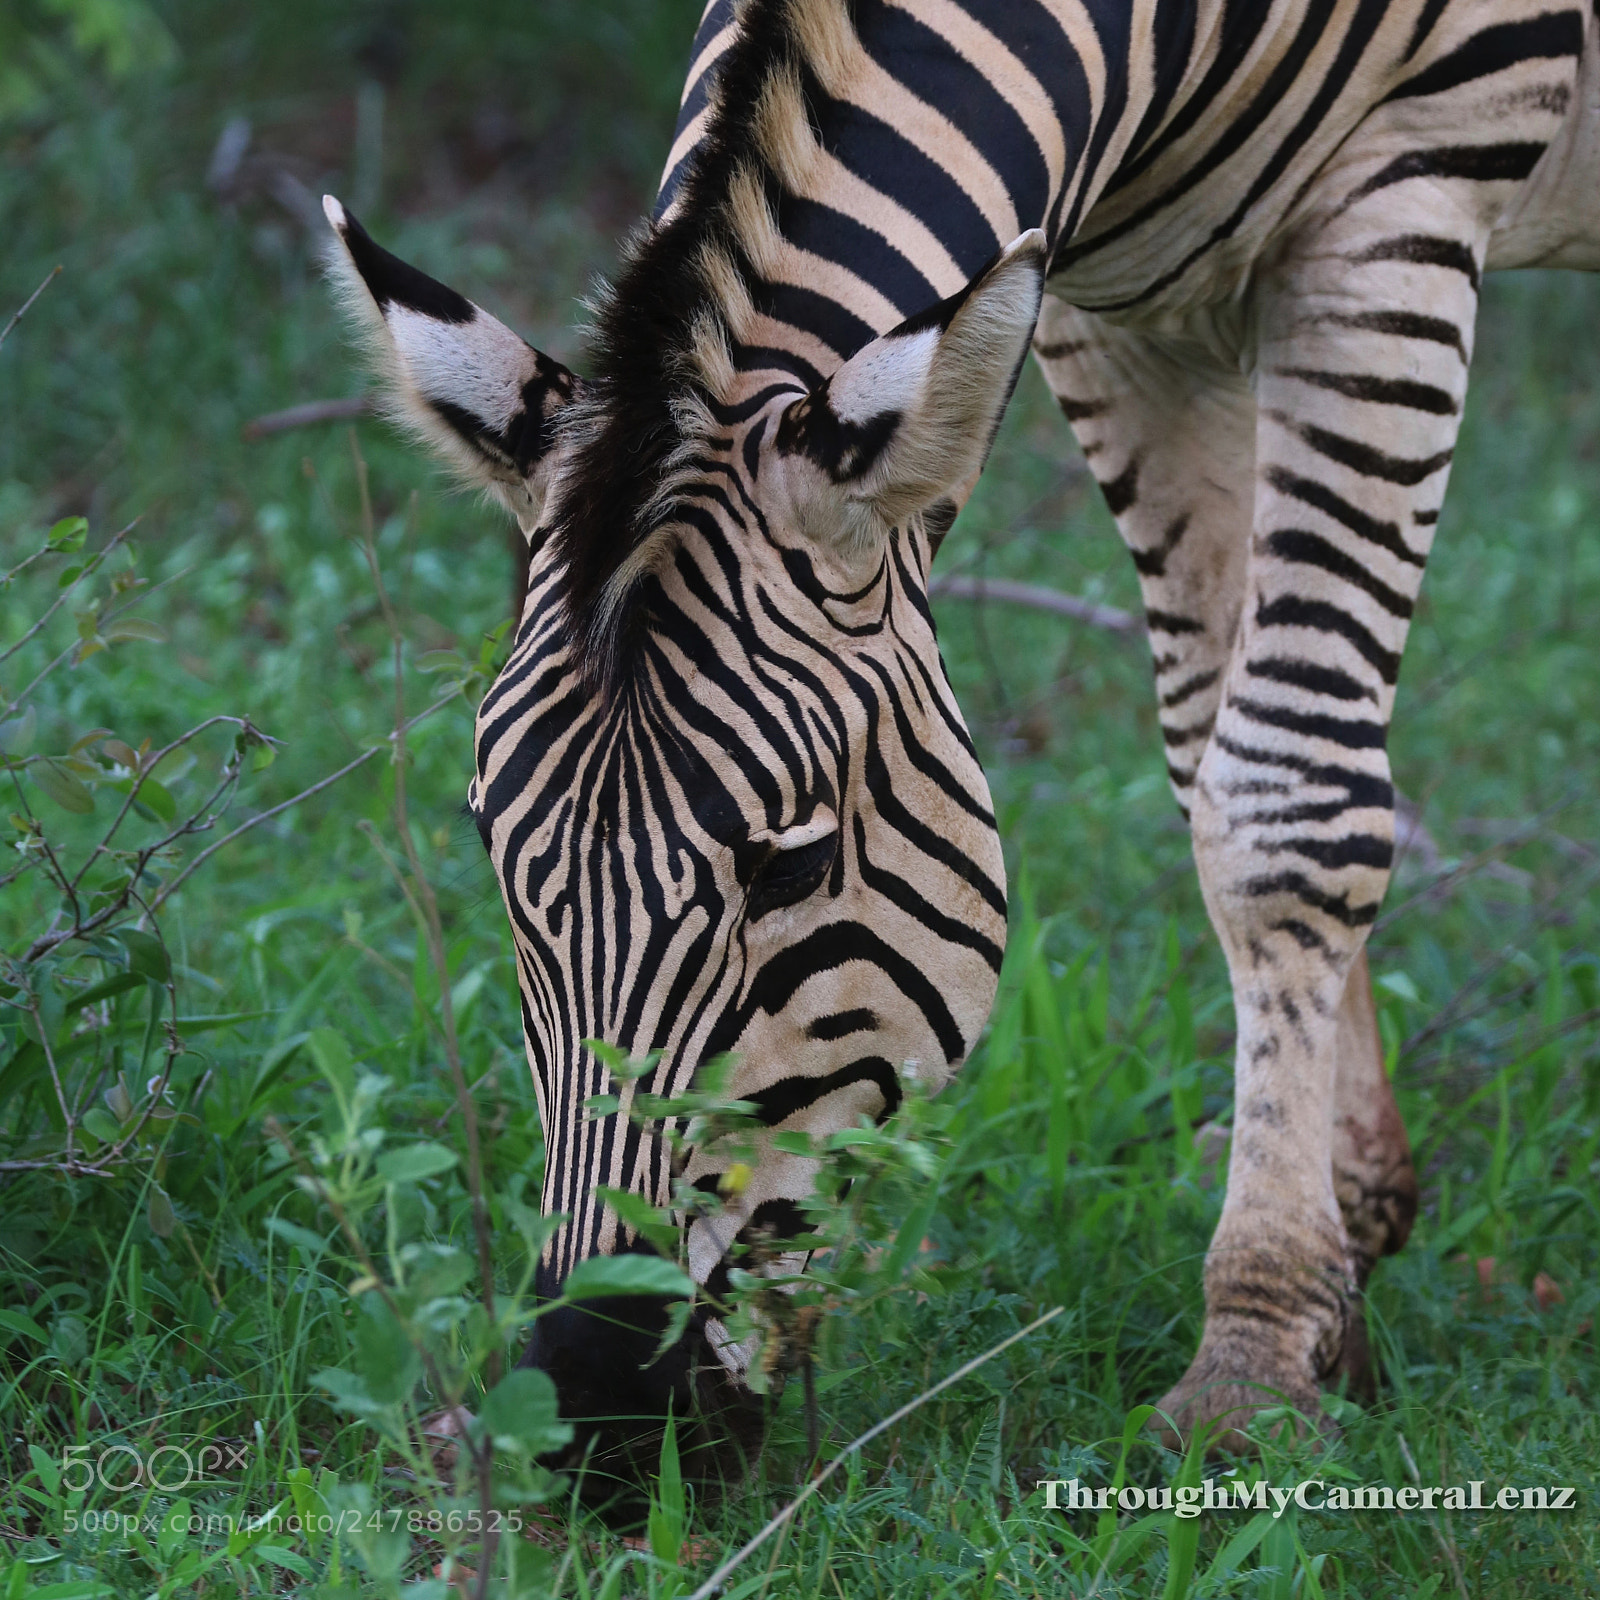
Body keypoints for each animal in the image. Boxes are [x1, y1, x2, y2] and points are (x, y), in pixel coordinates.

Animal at [322, 0, 1599, 1480]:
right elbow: (1215, 748)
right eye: (491, 850)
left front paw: (1253, 1353)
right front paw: (1343, 1255)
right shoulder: (1122, 308)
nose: (589, 1418)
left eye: (789, 867)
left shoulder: (1405, 186)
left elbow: (1284, 794)